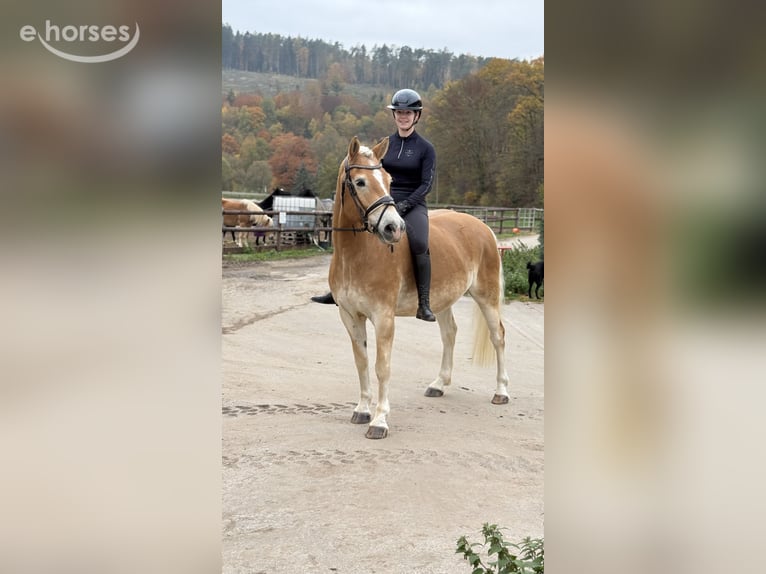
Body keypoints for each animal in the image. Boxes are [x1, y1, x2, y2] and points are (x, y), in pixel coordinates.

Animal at [328, 136, 510, 439]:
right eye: (361, 182)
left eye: (388, 180)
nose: (393, 228)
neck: (356, 255)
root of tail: (483, 226)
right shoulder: (350, 316)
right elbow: (361, 362)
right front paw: (362, 410)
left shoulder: (383, 318)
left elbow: (382, 367)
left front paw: (379, 421)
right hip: (443, 299)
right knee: (450, 334)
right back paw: (438, 384)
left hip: (487, 297)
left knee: (498, 337)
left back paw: (501, 392)